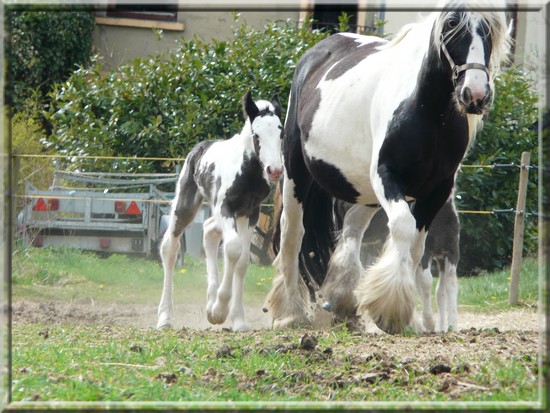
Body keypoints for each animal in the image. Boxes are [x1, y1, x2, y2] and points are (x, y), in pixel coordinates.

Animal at [157, 91, 282, 330]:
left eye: (281, 132)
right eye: (257, 134)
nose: (275, 170)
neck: (247, 172)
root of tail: (200, 147)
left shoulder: (249, 213)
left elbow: (242, 261)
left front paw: (238, 319)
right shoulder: (226, 208)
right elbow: (233, 249)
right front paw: (219, 311)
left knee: (208, 229)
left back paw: (209, 298)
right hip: (186, 205)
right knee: (170, 246)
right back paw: (165, 317)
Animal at [264, 3, 512, 334]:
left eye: (490, 28)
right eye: (451, 24)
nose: (475, 94)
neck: (428, 113)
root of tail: (318, 51)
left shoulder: (437, 190)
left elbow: (416, 248)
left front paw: (406, 315)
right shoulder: (387, 176)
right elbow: (403, 227)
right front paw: (390, 311)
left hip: (364, 192)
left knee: (351, 230)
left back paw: (343, 302)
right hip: (297, 175)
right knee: (293, 233)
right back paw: (291, 312)